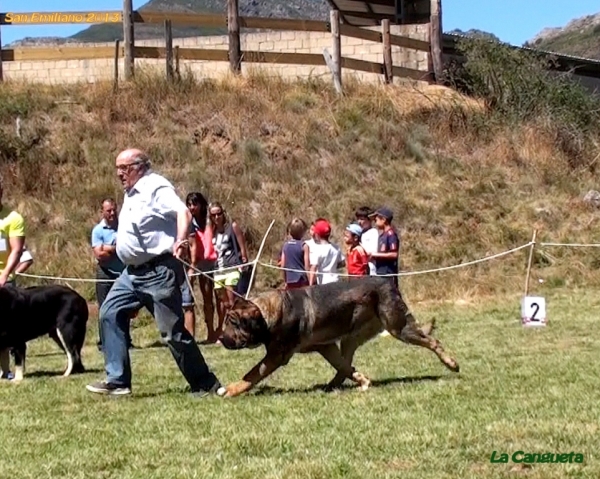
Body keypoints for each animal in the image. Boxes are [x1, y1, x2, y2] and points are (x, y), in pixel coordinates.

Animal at [219, 276, 460, 400]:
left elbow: (251, 374)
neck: (266, 314)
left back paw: (451, 364)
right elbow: (343, 365)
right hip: (350, 338)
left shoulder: (276, 356)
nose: (220, 338)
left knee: (433, 341)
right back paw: (338, 385)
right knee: (345, 365)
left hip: (398, 328)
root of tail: (388, 281)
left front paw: (231, 389)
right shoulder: (325, 347)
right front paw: (362, 380)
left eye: (233, 322)